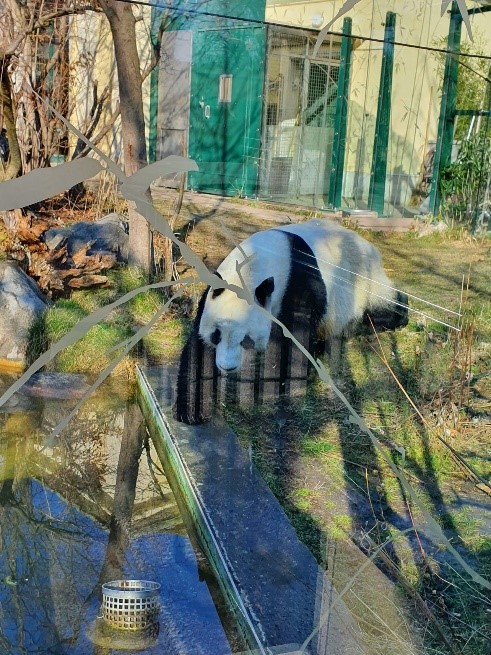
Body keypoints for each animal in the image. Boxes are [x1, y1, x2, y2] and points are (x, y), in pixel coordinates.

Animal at [175, 219, 410, 426]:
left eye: (246, 340)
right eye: (216, 335)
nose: (227, 367)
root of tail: (369, 245)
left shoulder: (299, 286)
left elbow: (297, 338)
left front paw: (281, 385)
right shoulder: (212, 295)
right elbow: (198, 347)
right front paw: (190, 411)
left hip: (364, 280)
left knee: (382, 306)